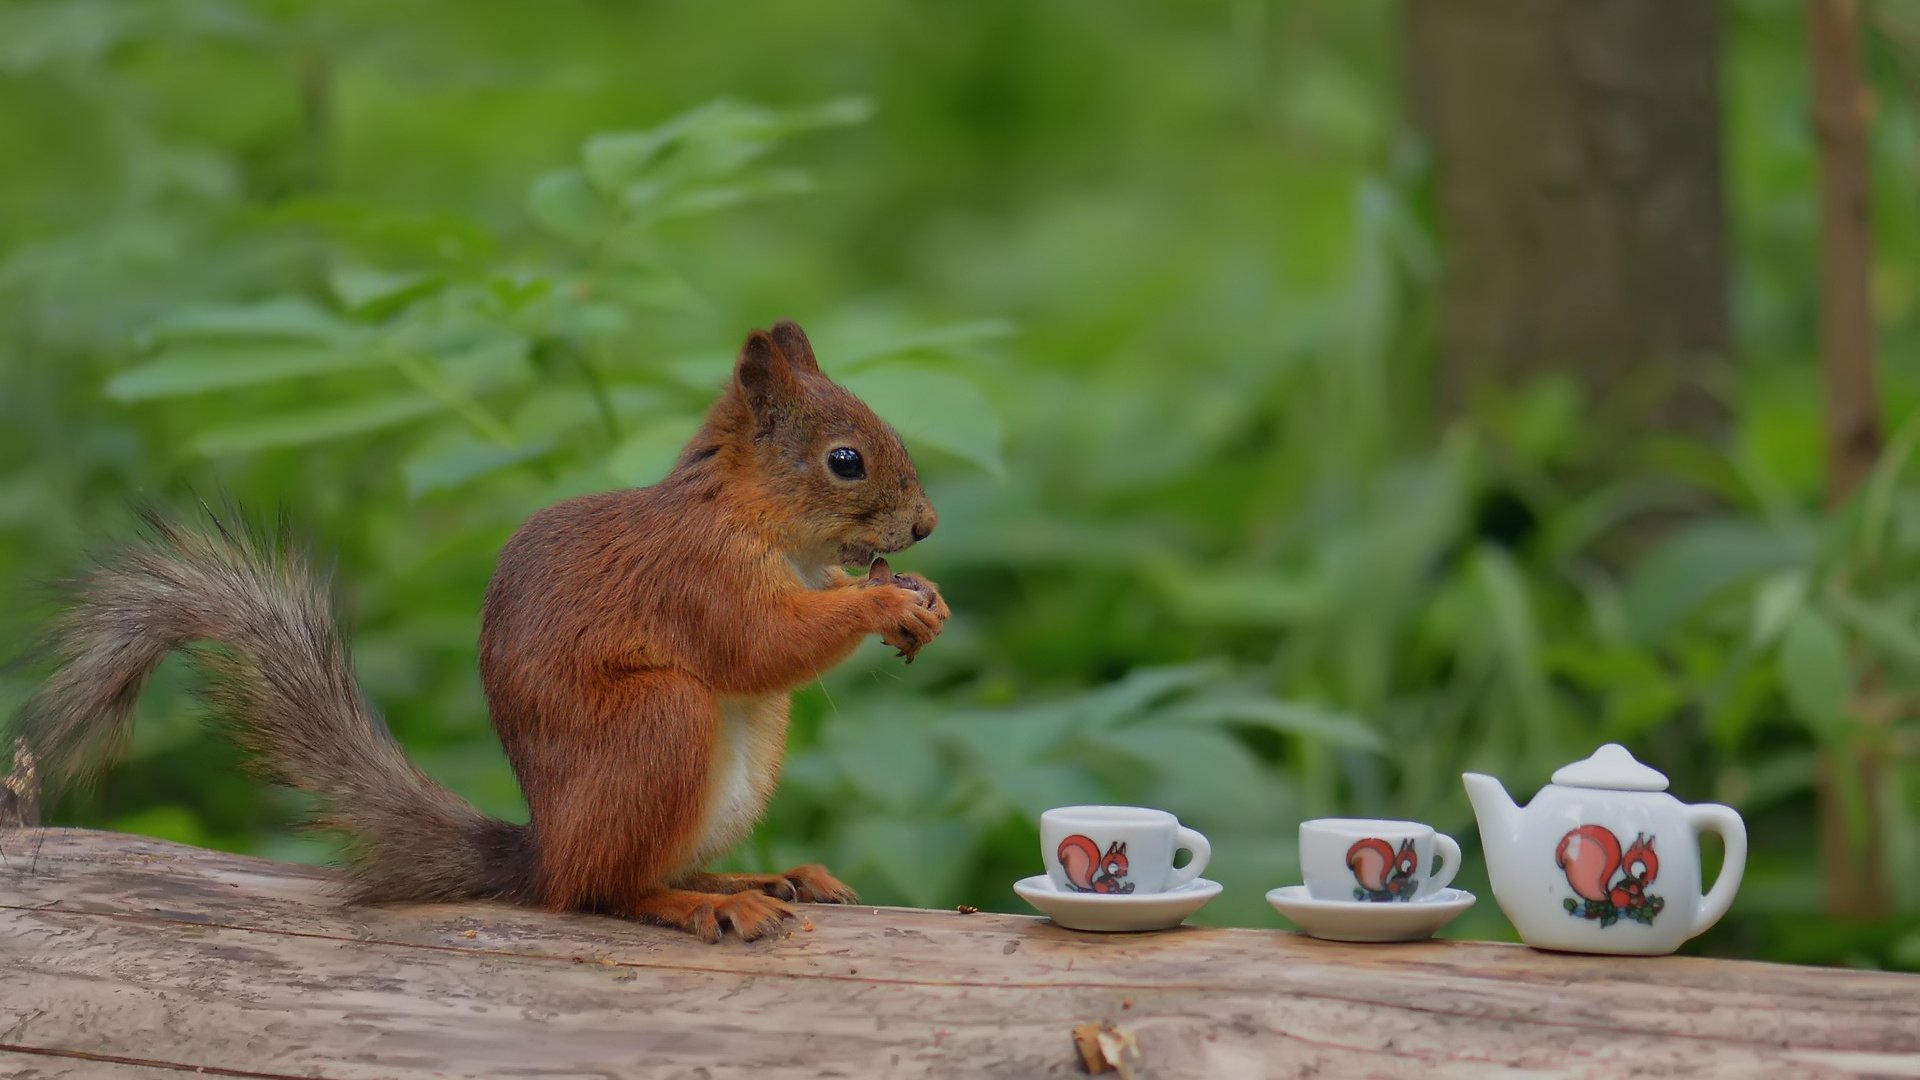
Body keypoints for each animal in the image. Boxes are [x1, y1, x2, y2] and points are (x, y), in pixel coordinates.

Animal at [7, 320, 948, 941]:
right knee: (605, 891)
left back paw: (767, 874)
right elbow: (759, 646)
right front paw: (882, 605)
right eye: (845, 461)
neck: (756, 520)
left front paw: (921, 597)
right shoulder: (696, 580)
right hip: (659, 723)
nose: (927, 526)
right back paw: (707, 902)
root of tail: (546, 851)